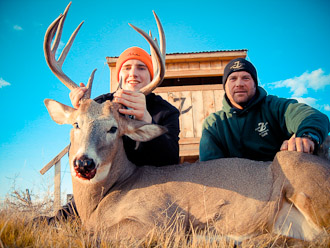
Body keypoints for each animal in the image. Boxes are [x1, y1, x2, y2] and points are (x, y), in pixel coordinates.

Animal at [43, 2, 330, 243]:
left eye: (113, 128)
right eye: (76, 124)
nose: (84, 163)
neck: (101, 202)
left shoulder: (162, 219)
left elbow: (96, 236)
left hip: (295, 166)